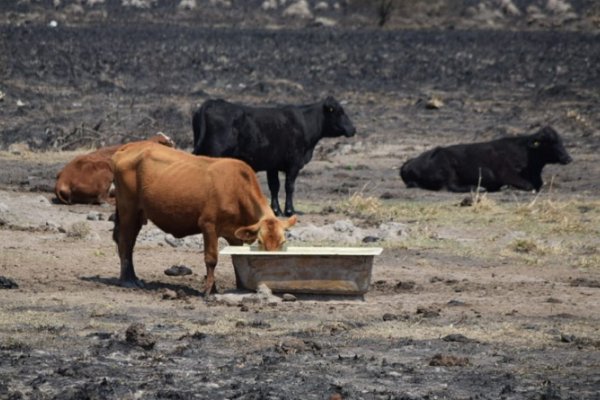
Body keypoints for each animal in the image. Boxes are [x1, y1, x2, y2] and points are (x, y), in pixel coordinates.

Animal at [110, 141, 298, 294]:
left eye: (283, 242)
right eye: (260, 241)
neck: (237, 189)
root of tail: (130, 146)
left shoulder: (234, 235)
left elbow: (237, 260)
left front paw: (240, 287)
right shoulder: (208, 225)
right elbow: (211, 258)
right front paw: (209, 289)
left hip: (138, 213)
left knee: (129, 242)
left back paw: (132, 277)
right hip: (128, 209)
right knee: (125, 241)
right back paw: (128, 281)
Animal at [192, 96, 356, 216]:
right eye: (339, 112)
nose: (353, 129)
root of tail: (212, 102)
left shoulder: (273, 165)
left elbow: (274, 186)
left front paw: (276, 210)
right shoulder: (294, 163)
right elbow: (289, 186)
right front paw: (289, 211)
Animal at [398, 126, 572, 193]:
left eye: (561, 141)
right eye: (550, 142)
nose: (568, 158)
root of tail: (408, 164)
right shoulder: (506, 174)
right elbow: (528, 185)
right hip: (447, 169)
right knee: (450, 186)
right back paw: (478, 188)